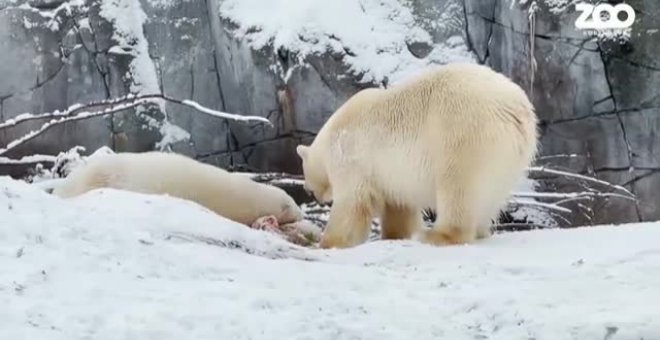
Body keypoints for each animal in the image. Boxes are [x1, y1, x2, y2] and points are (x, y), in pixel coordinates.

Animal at [296, 63, 540, 250]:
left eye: (308, 180)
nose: (312, 193)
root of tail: (517, 110)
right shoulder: (392, 173)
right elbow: (398, 206)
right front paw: (394, 234)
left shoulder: (350, 156)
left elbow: (353, 202)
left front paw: (329, 242)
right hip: (509, 156)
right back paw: (480, 230)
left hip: (463, 130)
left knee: (457, 185)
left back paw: (437, 235)